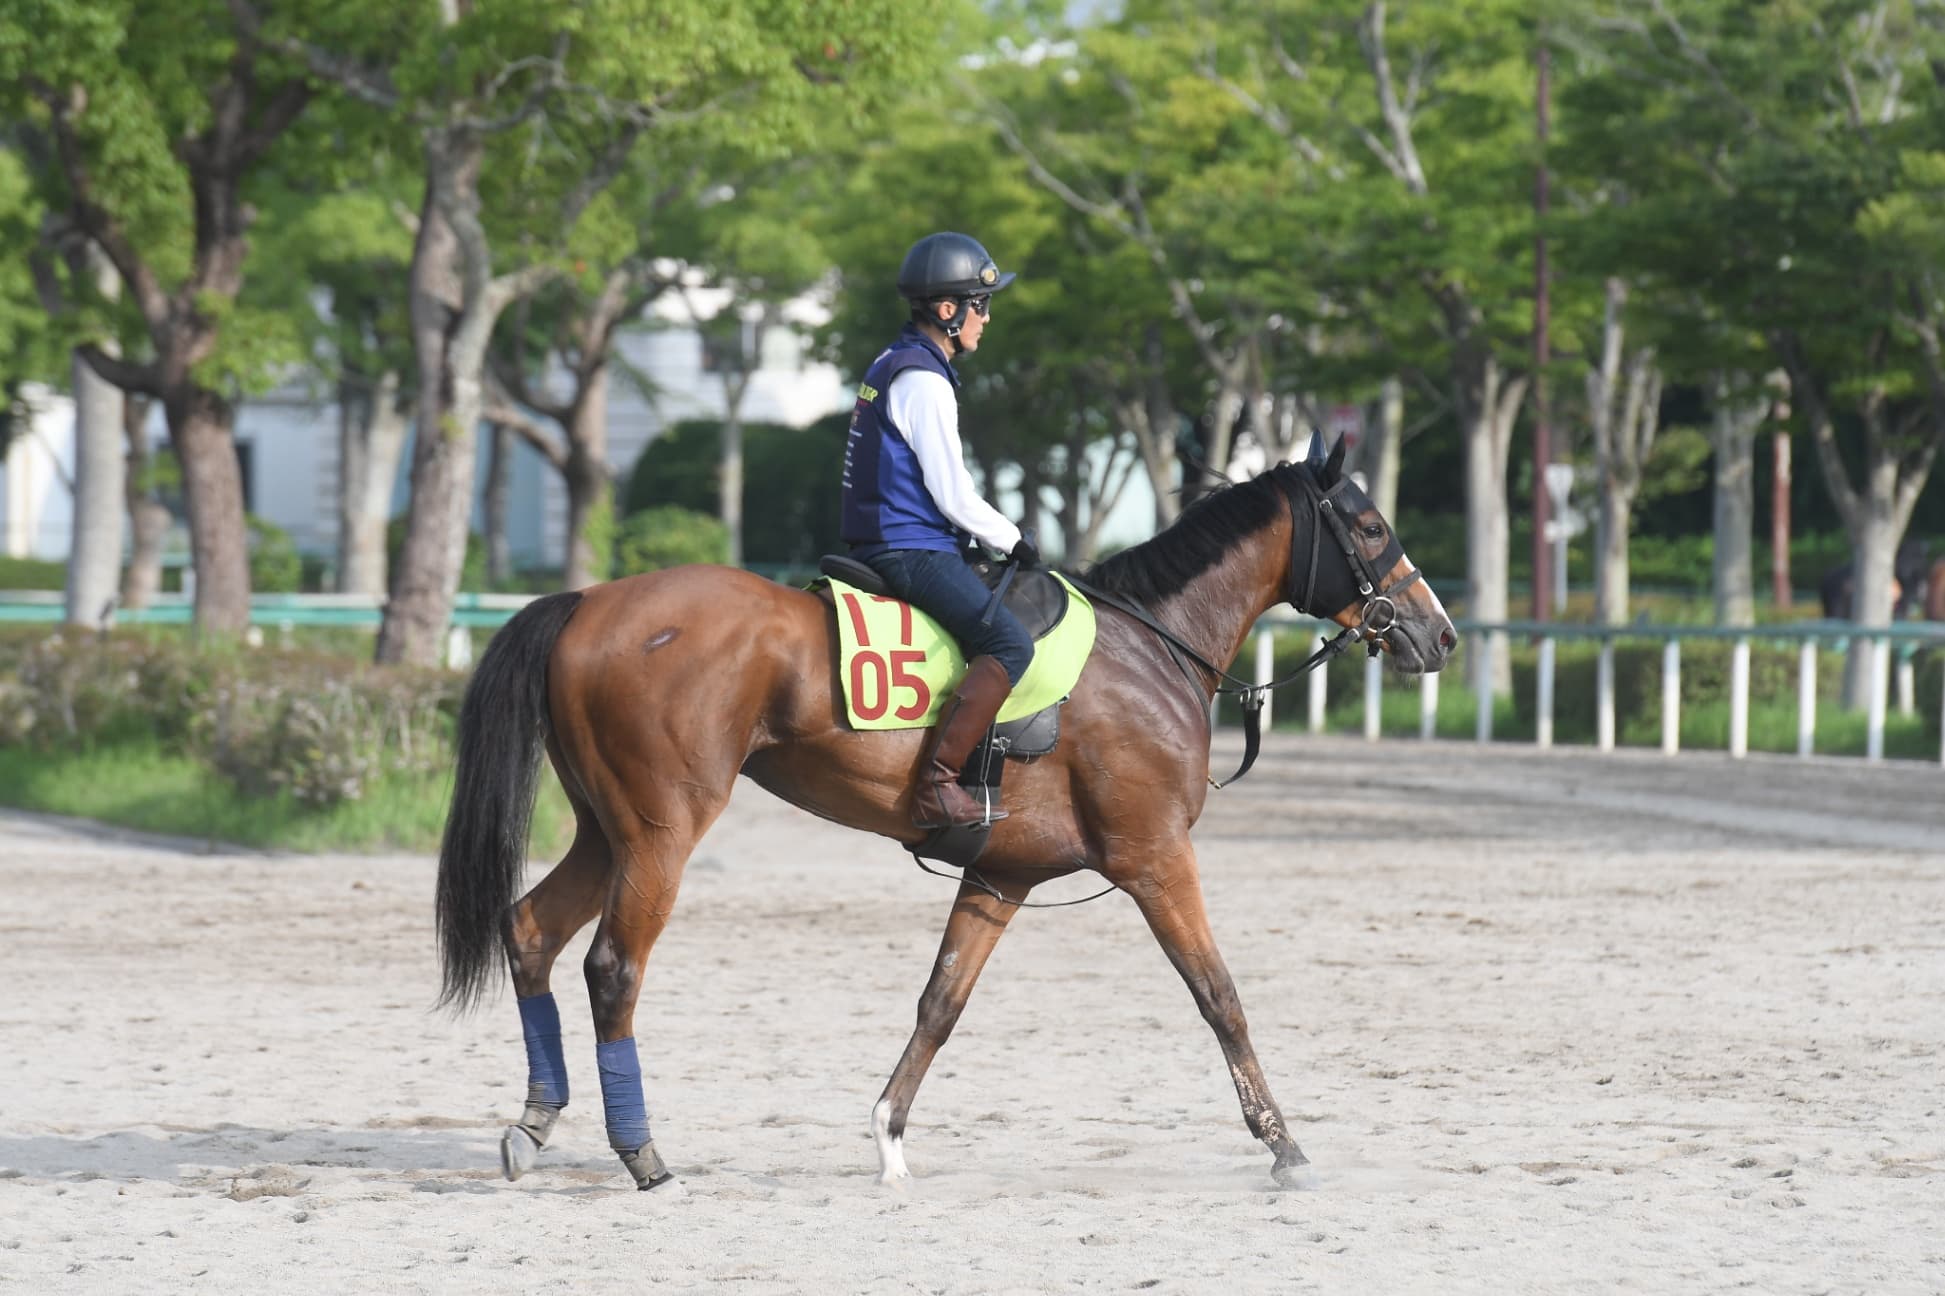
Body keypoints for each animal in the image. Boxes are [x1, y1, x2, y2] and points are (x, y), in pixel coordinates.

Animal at [433, 436, 1458, 1192]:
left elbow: (940, 1004)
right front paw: (1283, 1143)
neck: (1150, 645)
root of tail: (587, 603)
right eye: (1369, 523)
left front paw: (888, 1134)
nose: (1437, 633)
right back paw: (642, 1153)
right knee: (612, 968)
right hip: (661, 833)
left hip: (606, 831)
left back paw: (533, 1124)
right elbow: (1219, 997)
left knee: (531, 931)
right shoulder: (1154, 858)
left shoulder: (1000, 875)